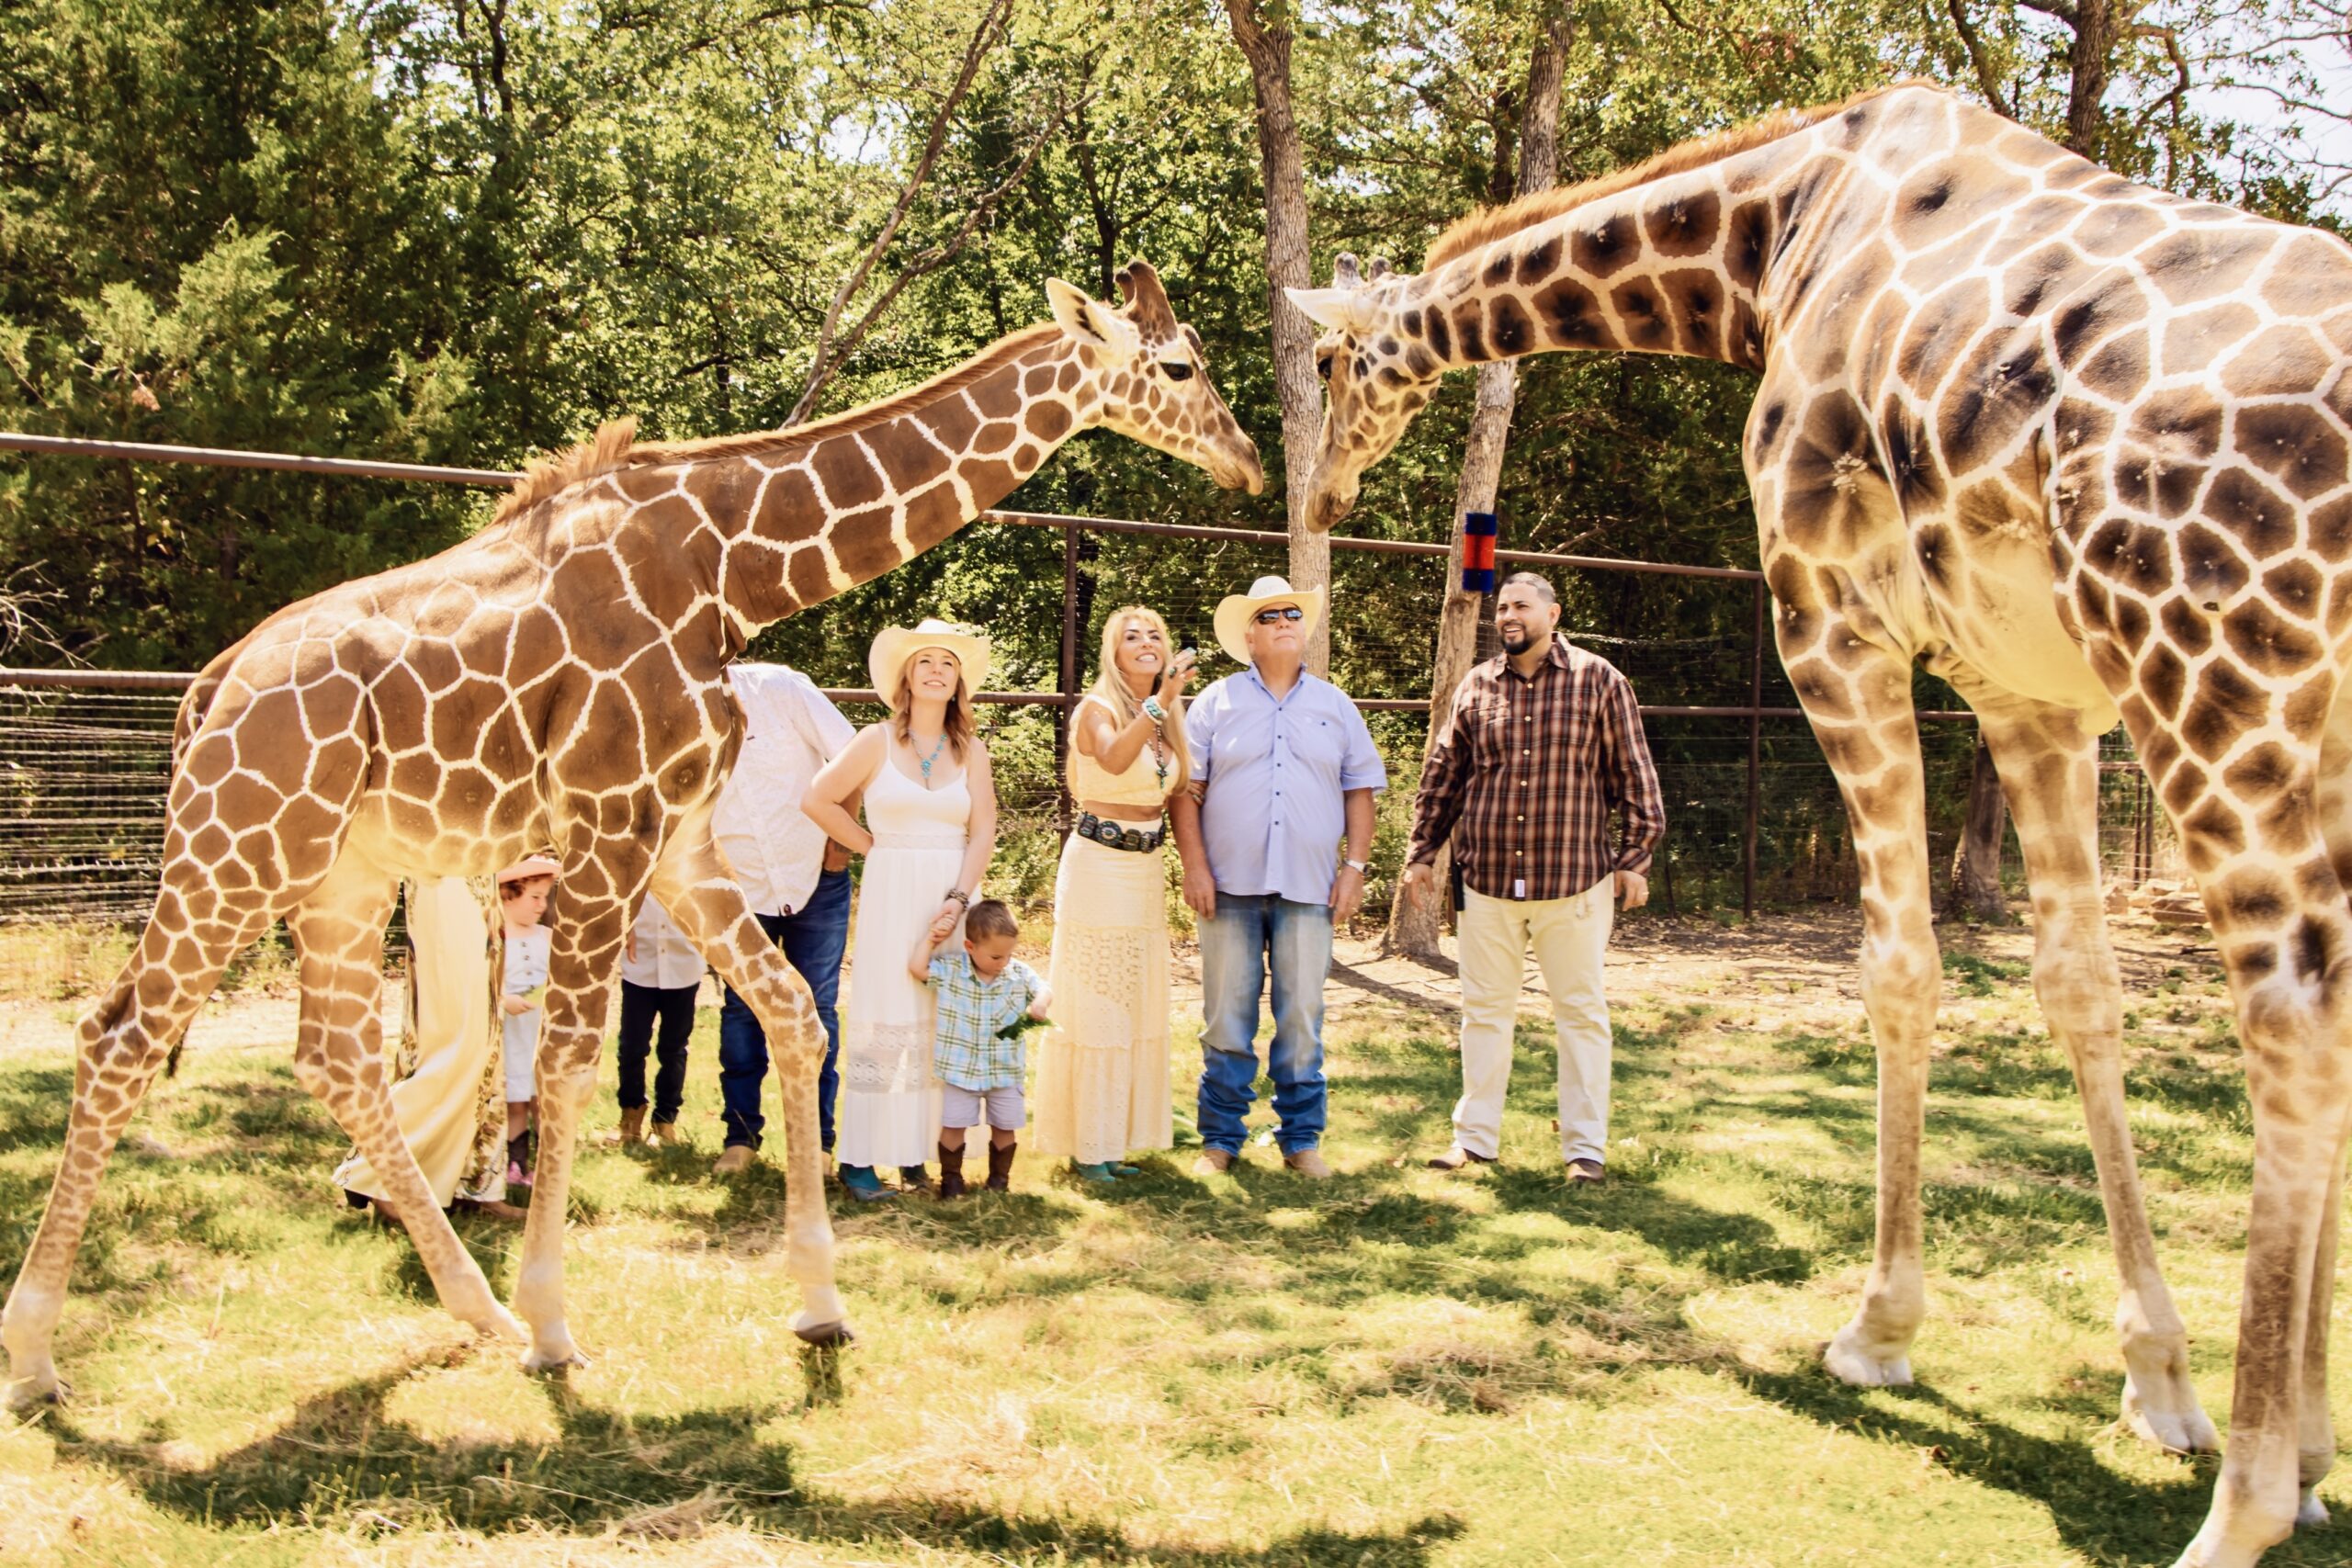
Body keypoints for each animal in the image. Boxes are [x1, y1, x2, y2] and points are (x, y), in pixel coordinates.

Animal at [2, 261, 1260, 1401]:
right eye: (1178, 368)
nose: (1247, 459)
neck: (733, 568)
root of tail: (205, 692)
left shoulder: (681, 841)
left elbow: (795, 1014)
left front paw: (819, 1305)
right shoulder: (611, 823)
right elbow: (566, 1057)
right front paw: (560, 1330)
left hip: (342, 877)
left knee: (335, 1057)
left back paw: (478, 1311)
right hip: (240, 852)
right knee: (118, 1039)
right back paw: (38, 1358)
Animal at [1283, 81, 2352, 1566]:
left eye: (1335, 365)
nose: (1317, 496)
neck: (1766, 242)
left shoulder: (1834, 627)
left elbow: (1897, 969)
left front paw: (1877, 1331)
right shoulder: (2030, 692)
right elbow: (2078, 989)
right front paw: (2158, 1381)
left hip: (2206, 664)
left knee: (2291, 1011)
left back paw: (2240, 1510)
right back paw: (2295, 1454)